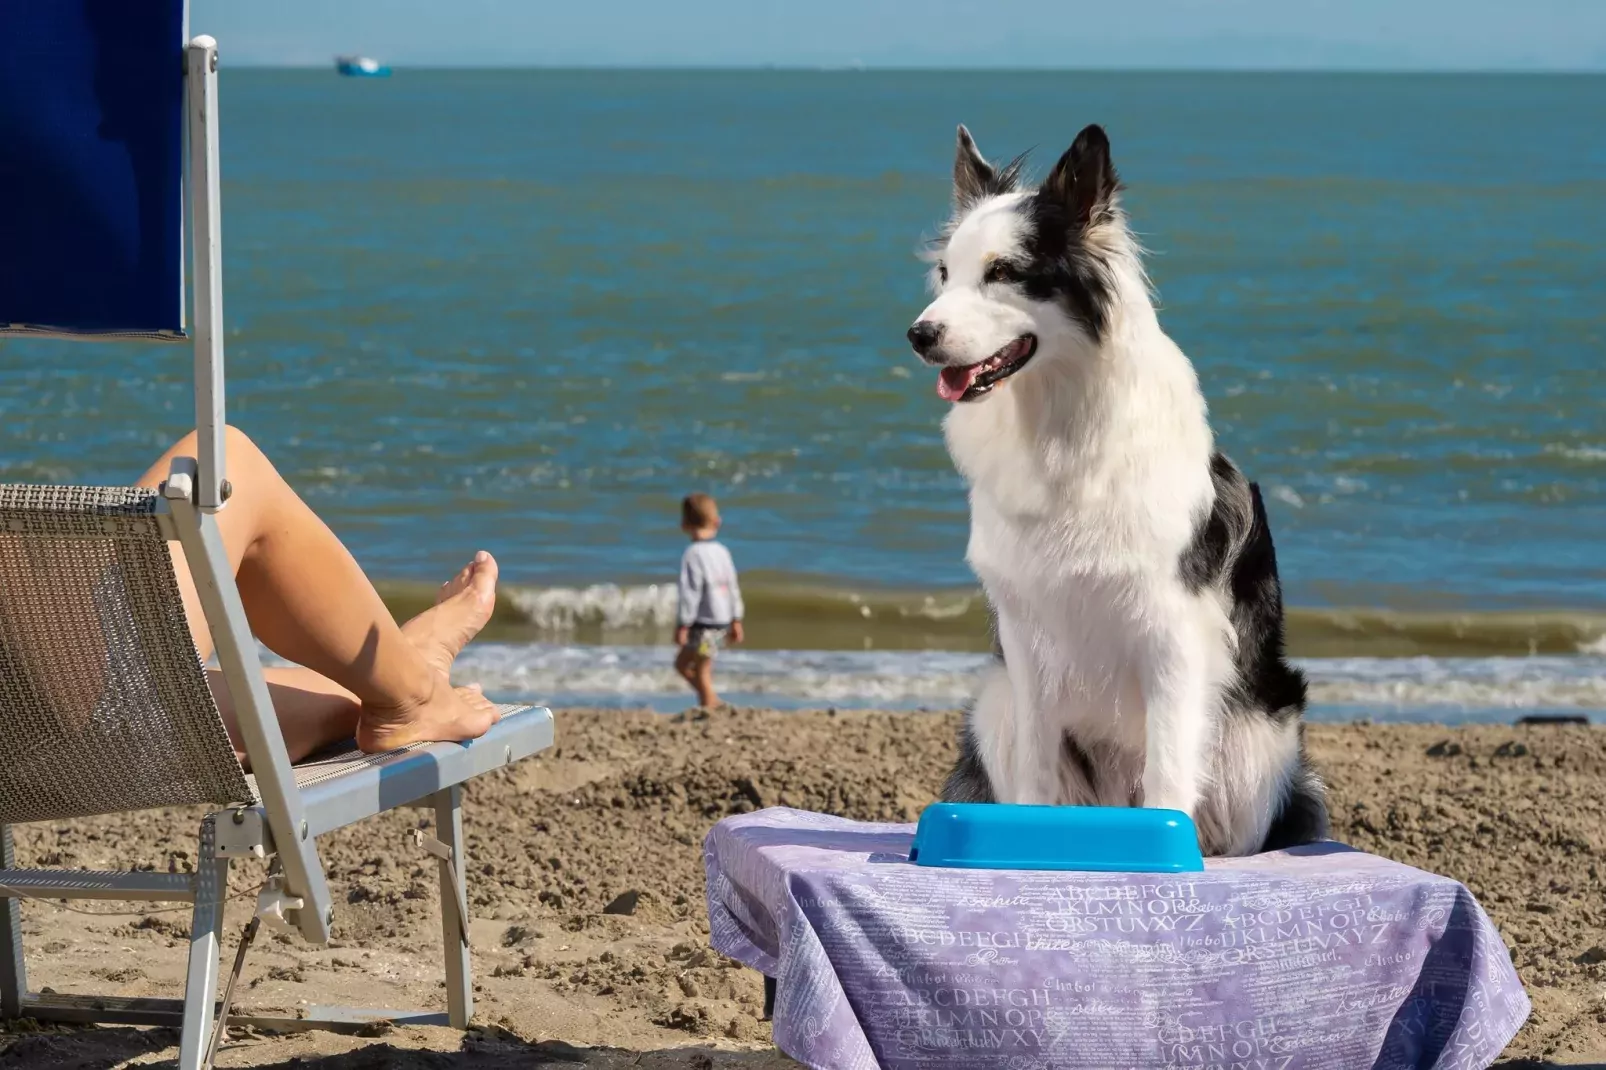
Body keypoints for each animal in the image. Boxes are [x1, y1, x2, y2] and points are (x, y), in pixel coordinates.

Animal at [912, 125, 1323, 854]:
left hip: (1259, 734)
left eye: (1003, 273)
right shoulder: (1026, 635)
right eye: (944, 275)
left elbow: (1169, 774)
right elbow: (1037, 770)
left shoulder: (1174, 632)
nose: (918, 335)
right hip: (994, 701)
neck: (1057, 424)